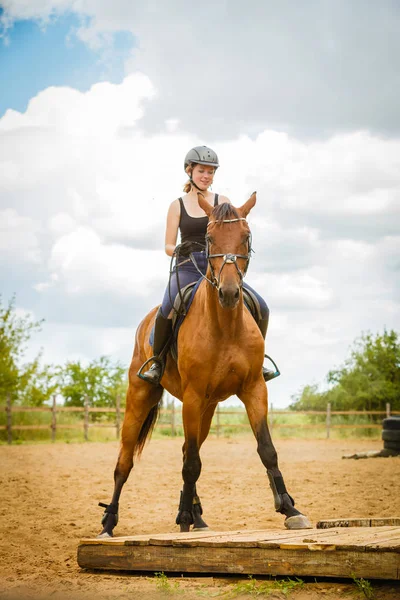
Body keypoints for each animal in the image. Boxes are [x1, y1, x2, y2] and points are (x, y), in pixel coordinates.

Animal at [98, 192, 310, 536]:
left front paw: (290, 509)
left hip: (207, 408)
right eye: (209, 238)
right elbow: (191, 464)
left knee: (189, 451)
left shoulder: (254, 389)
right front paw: (183, 518)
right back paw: (109, 522)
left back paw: (197, 516)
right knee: (125, 462)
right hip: (142, 397)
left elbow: (266, 450)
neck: (225, 325)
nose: (229, 293)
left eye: (246, 236)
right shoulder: (194, 395)